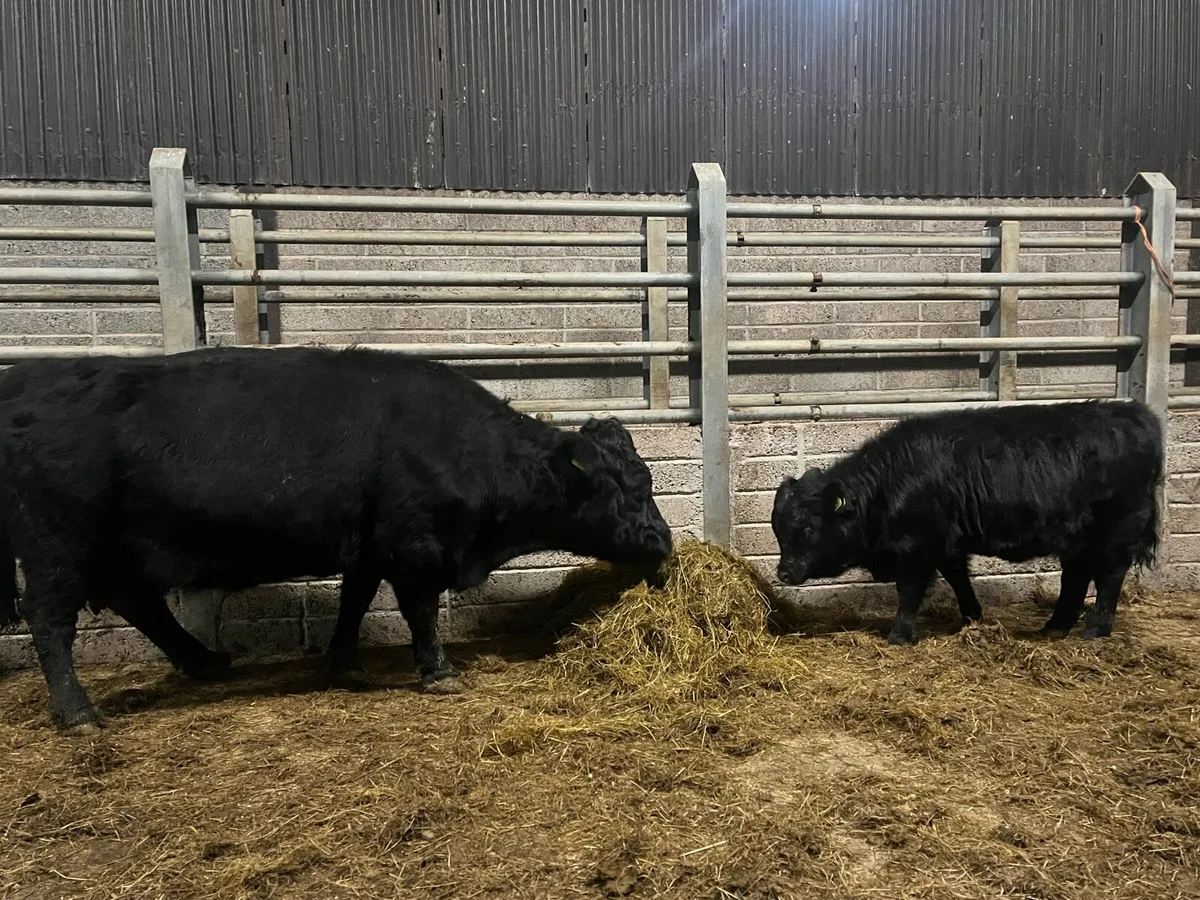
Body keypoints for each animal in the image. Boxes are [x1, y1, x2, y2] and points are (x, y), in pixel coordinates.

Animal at [0, 346, 673, 733]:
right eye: (631, 488)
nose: (664, 542)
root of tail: (27, 379)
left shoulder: (368, 546)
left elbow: (354, 600)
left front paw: (343, 662)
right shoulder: (415, 548)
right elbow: (420, 611)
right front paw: (438, 670)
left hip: (113, 551)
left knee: (139, 604)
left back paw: (205, 660)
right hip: (57, 550)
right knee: (52, 621)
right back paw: (78, 713)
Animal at [771, 400, 1163, 645]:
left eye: (807, 529)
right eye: (779, 530)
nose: (784, 573)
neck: (892, 481)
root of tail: (1135, 414)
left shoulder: (918, 548)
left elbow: (909, 591)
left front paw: (900, 635)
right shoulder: (948, 545)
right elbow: (959, 579)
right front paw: (972, 618)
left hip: (1116, 532)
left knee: (1110, 575)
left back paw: (1096, 629)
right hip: (1076, 539)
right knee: (1076, 577)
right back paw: (1054, 627)